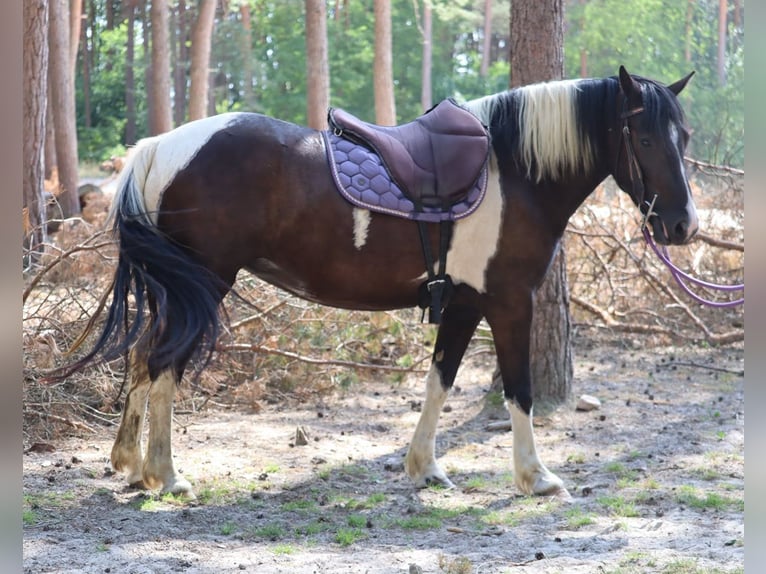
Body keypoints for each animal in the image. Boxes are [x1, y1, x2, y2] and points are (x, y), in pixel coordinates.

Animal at [62, 66, 698, 499]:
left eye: (684, 138)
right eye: (644, 139)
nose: (683, 226)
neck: (516, 172)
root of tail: (157, 149)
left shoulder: (464, 303)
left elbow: (440, 380)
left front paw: (425, 467)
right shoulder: (509, 302)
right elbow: (519, 390)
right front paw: (535, 476)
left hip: (180, 289)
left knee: (142, 357)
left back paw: (129, 463)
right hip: (204, 284)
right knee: (164, 363)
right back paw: (166, 475)